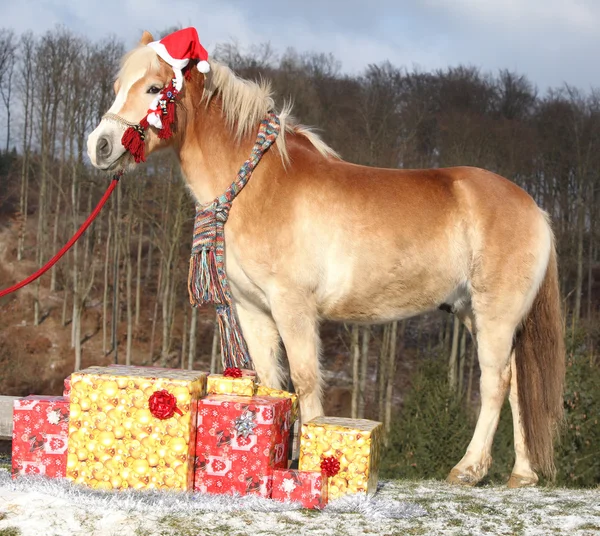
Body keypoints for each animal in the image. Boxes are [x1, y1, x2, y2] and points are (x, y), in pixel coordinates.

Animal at [86, 31, 564, 488]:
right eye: (117, 87)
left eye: (153, 88)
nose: (99, 146)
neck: (258, 186)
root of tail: (535, 210)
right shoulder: (253, 310)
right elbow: (272, 382)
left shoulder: (293, 306)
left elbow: (305, 379)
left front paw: (313, 463)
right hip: (476, 315)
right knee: (519, 386)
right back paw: (521, 474)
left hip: (494, 314)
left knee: (496, 383)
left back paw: (469, 468)